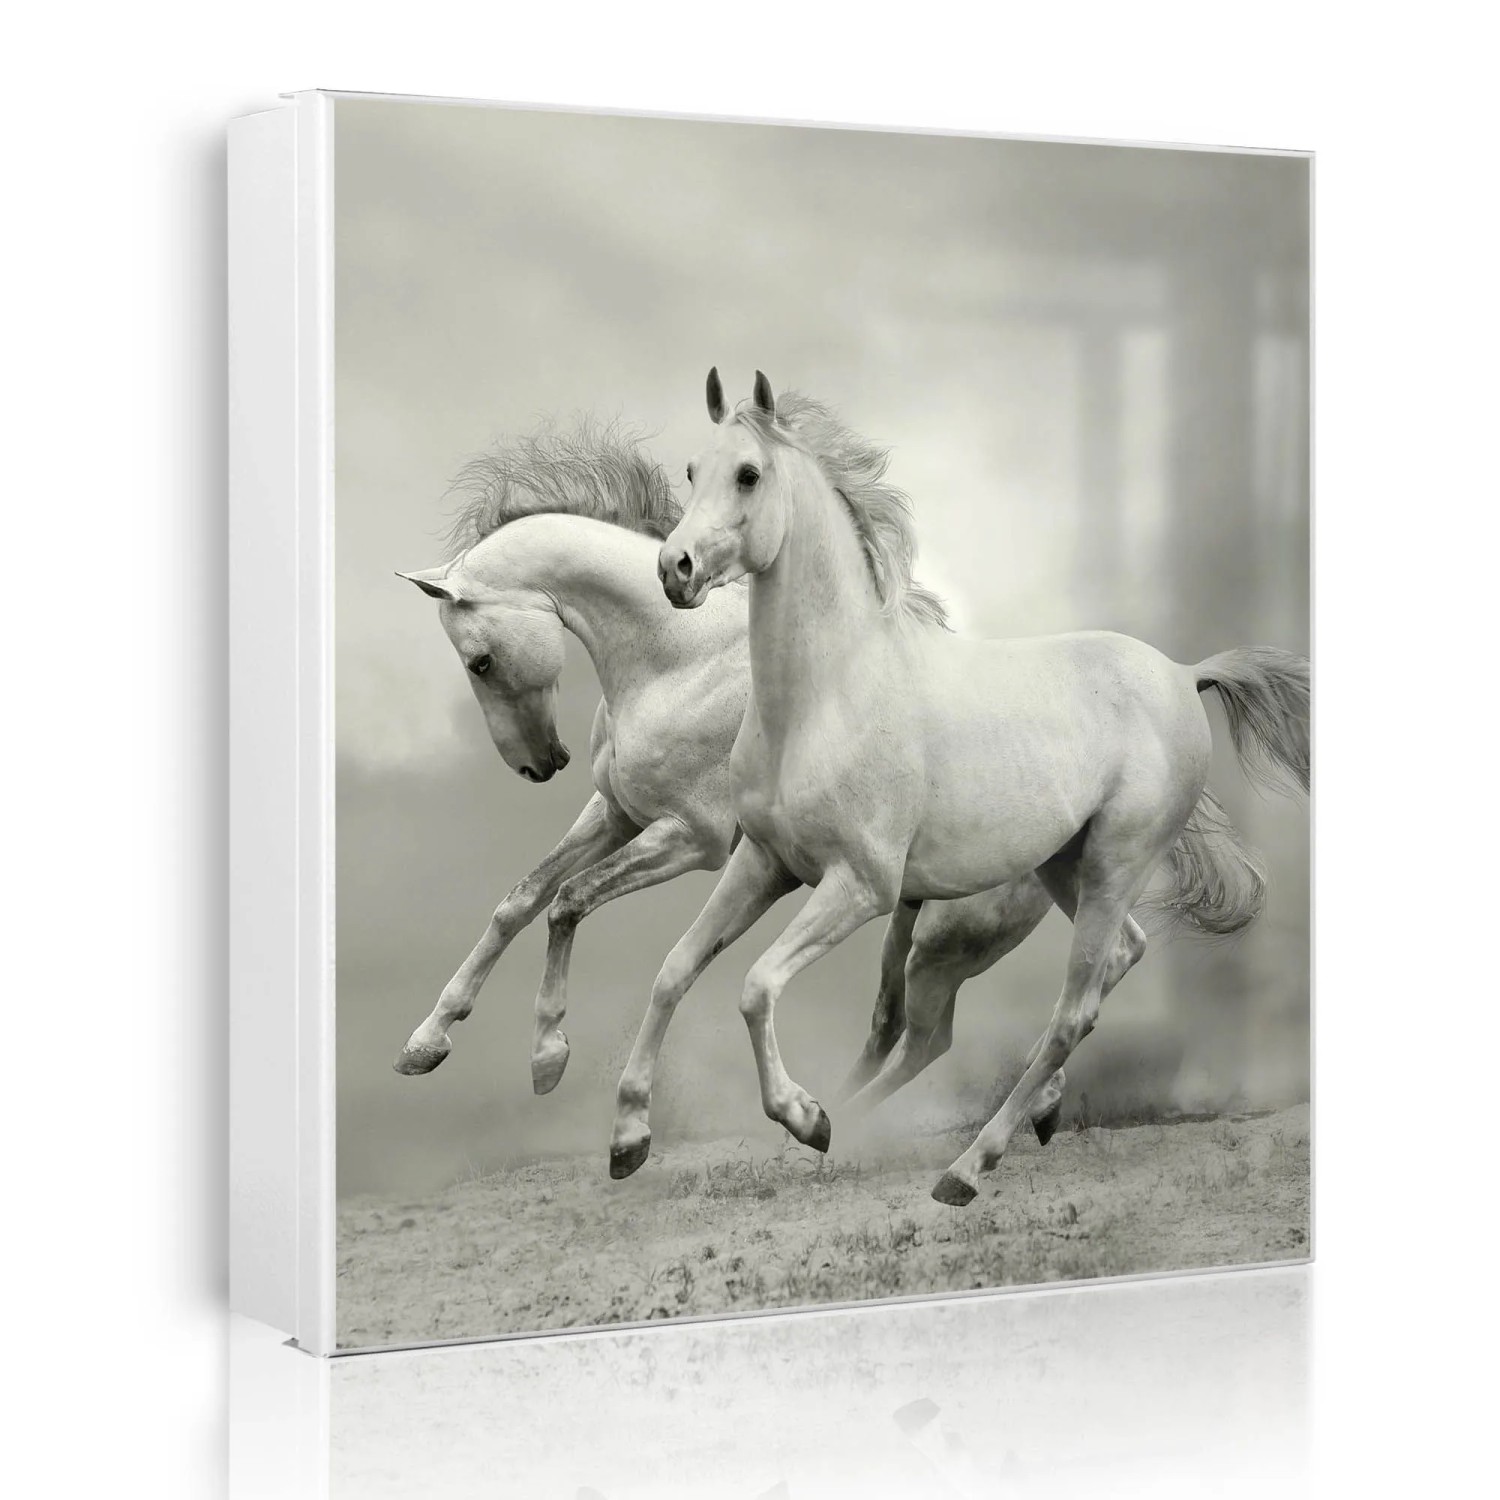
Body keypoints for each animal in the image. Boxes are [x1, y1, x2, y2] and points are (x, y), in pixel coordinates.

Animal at [391, 421, 1129, 1125]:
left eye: (480, 662)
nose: (539, 764)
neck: (677, 659)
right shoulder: (617, 813)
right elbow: (520, 900)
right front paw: (426, 1041)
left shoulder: (692, 839)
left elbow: (569, 900)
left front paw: (548, 1056)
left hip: (948, 933)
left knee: (952, 1024)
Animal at [628, 369, 1308, 1205]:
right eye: (693, 470)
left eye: (749, 474)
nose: (676, 569)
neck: (827, 695)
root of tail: (1185, 674)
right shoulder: (765, 862)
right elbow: (674, 972)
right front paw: (627, 1138)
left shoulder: (861, 887)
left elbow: (755, 985)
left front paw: (805, 1117)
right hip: (1065, 867)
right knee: (1117, 962)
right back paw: (1018, 1123)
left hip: (1110, 865)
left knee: (1066, 1012)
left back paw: (966, 1168)